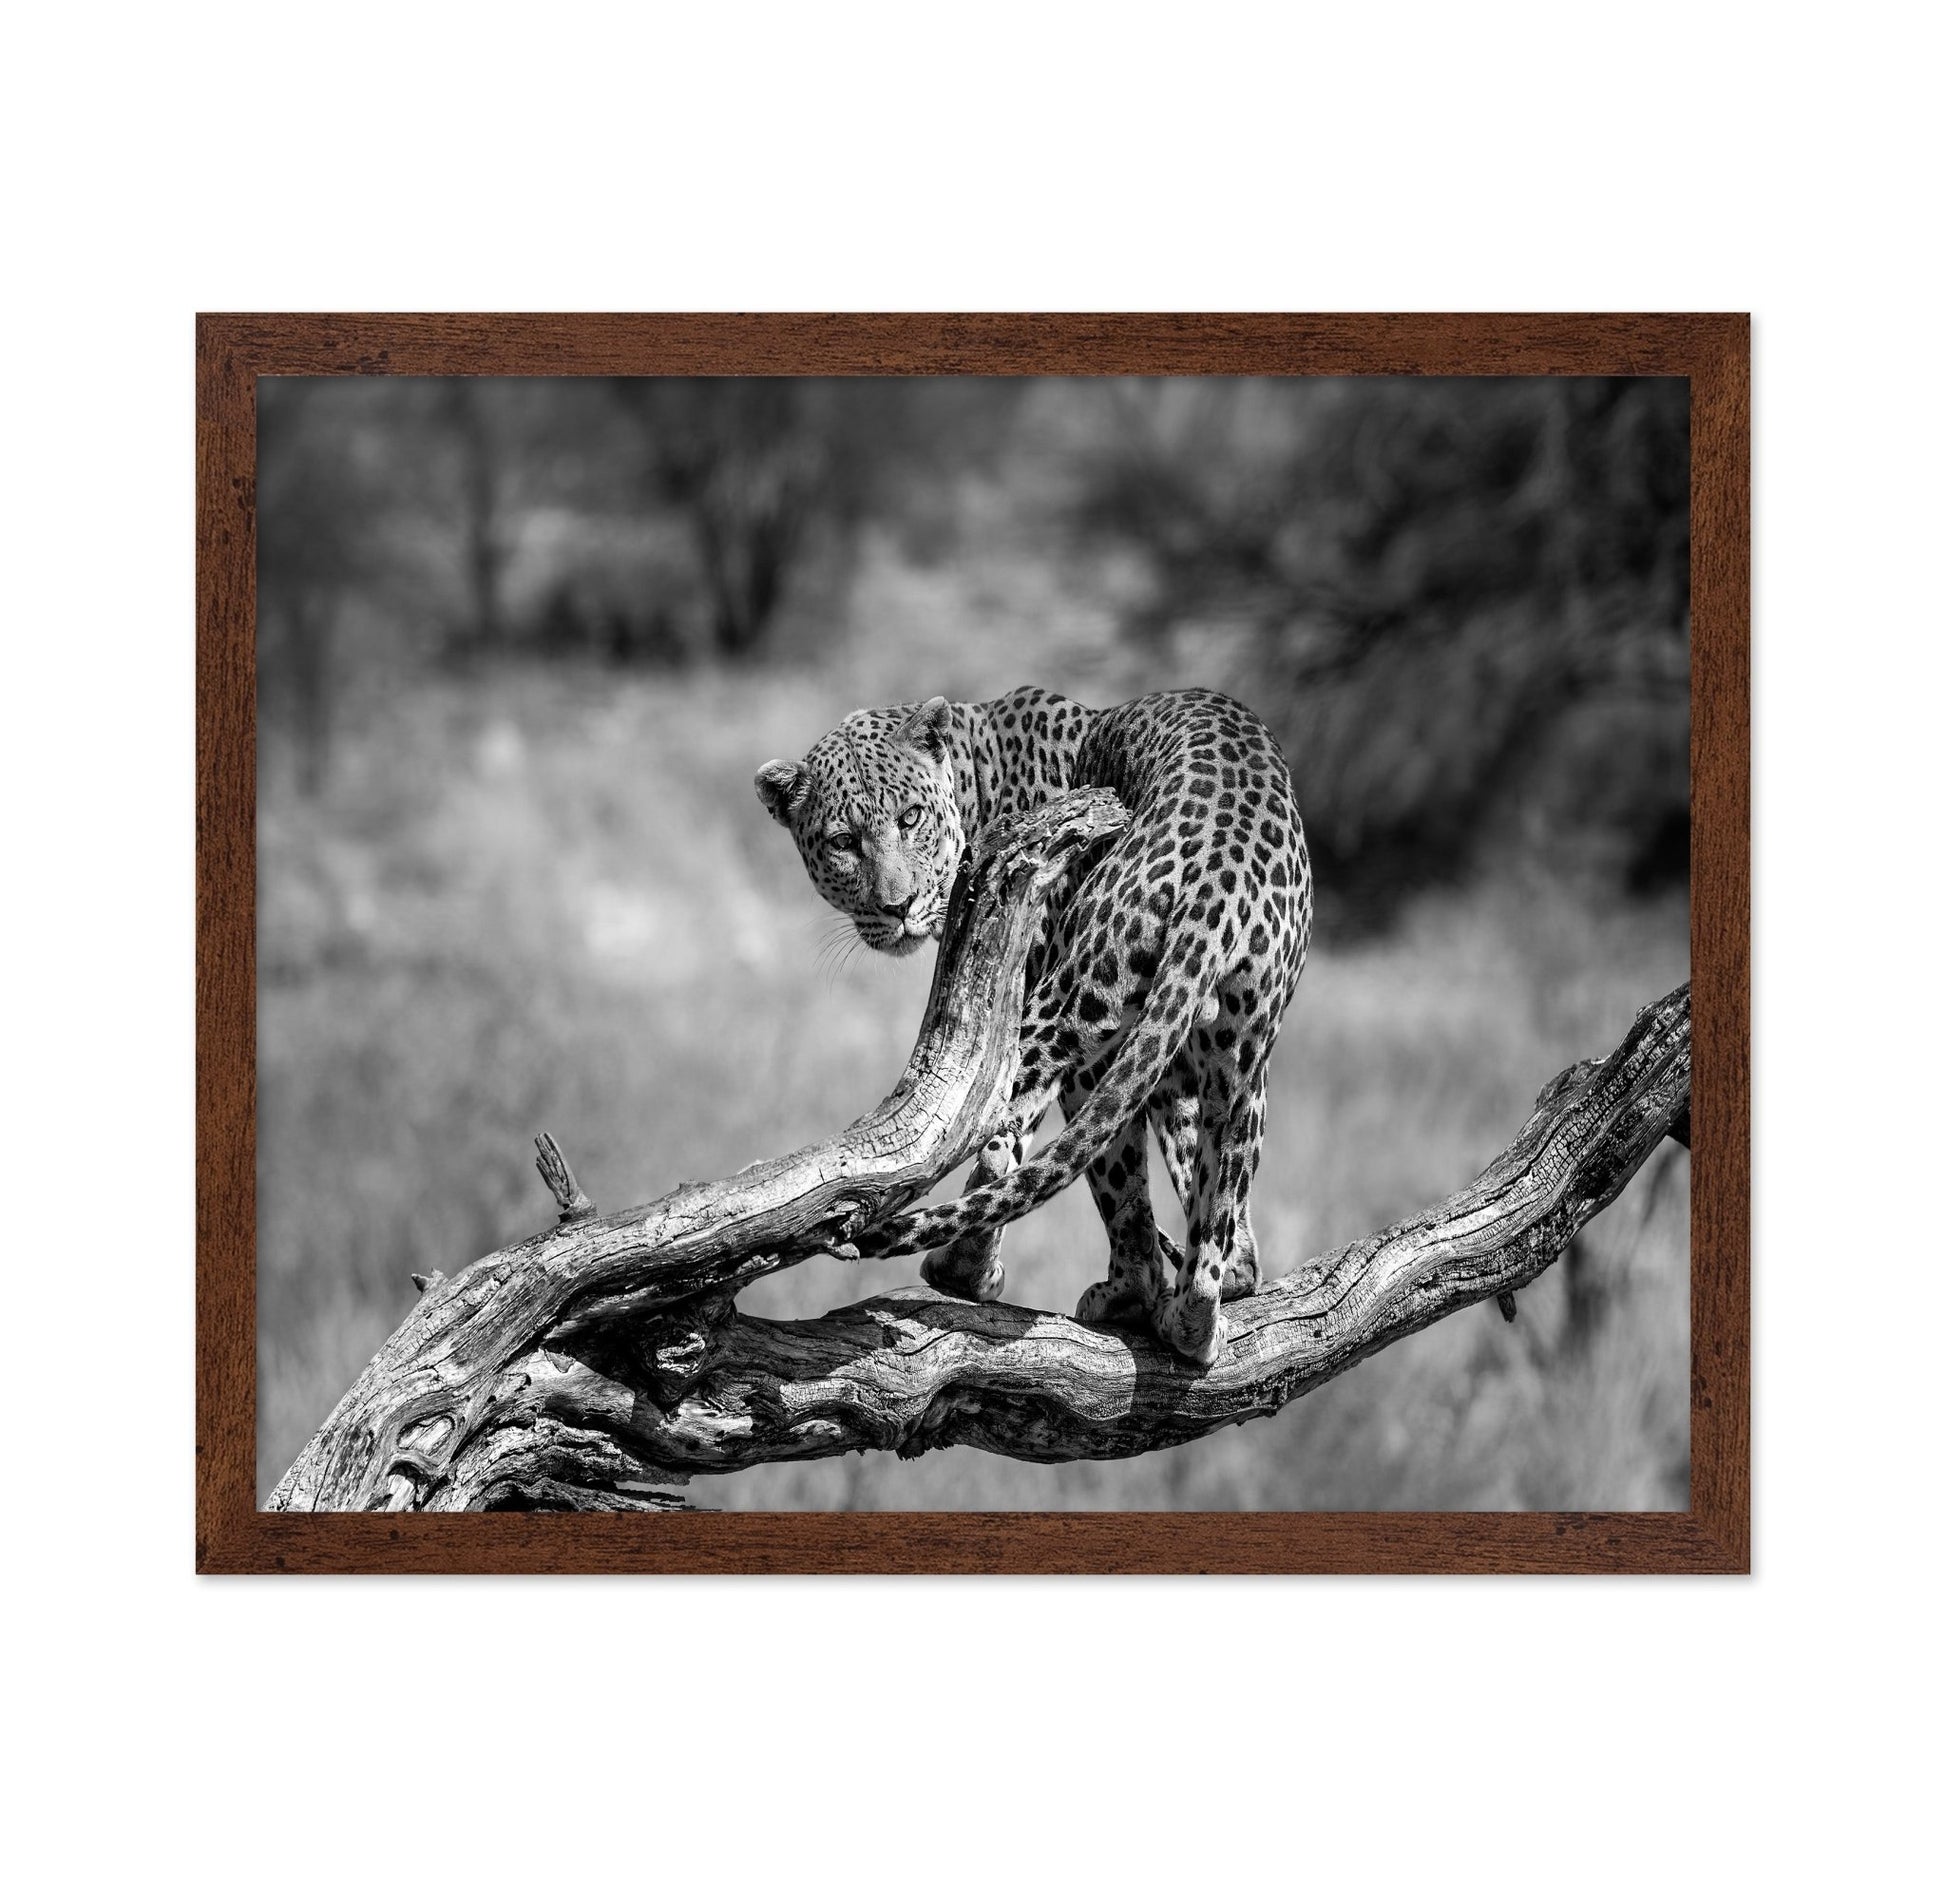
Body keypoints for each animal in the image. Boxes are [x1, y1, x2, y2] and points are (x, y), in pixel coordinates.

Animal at [755, 685, 1312, 1366]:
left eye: (909, 819)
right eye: (843, 841)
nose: (898, 906)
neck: (974, 780)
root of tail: (1218, 881)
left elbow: (1015, 1146)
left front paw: (974, 1270)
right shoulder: (1176, 1064)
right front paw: (1232, 1276)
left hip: (1075, 1010)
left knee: (1049, 1147)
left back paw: (1066, 1284)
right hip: (1239, 1054)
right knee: (1217, 1197)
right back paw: (1194, 1314)